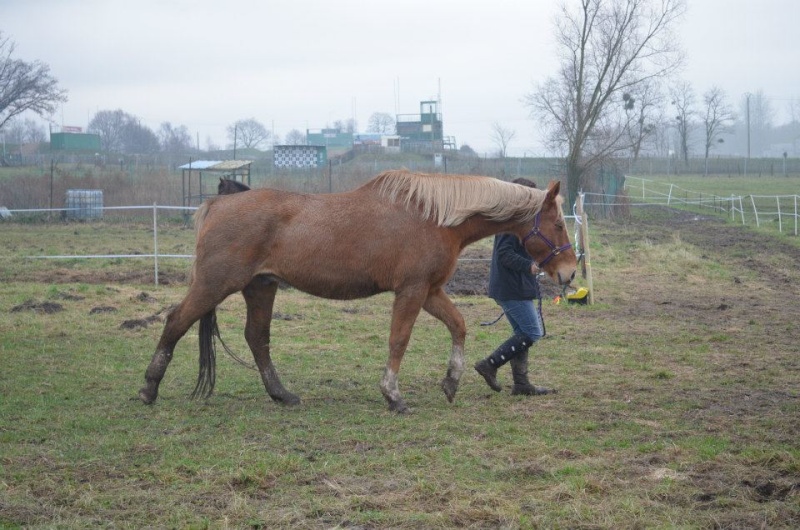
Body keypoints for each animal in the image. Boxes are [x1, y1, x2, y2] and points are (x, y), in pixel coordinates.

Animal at [138, 171, 576, 410]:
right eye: (557, 224)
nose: (570, 272)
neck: (433, 217)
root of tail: (217, 205)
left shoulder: (430, 291)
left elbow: (459, 325)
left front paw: (451, 381)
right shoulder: (412, 291)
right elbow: (399, 340)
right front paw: (393, 396)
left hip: (260, 288)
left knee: (257, 338)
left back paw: (282, 395)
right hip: (215, 284)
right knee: (176, 322)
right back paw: (148, 388)